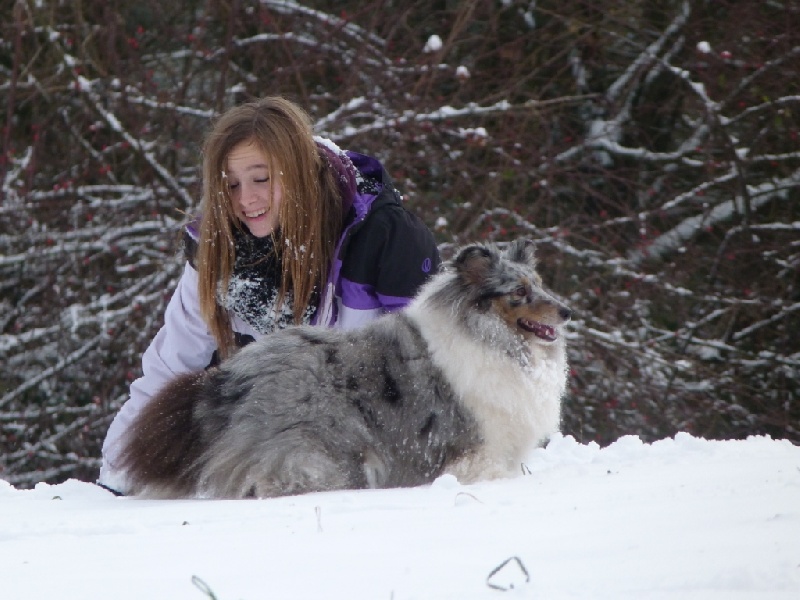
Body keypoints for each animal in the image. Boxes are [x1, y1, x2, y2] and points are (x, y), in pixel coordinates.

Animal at [117, 238, 568, 496]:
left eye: (540, 283)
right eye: (519, 291)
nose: (566, 310)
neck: (491, 337)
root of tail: (226, 379)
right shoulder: (478, 453)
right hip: (322, 458)